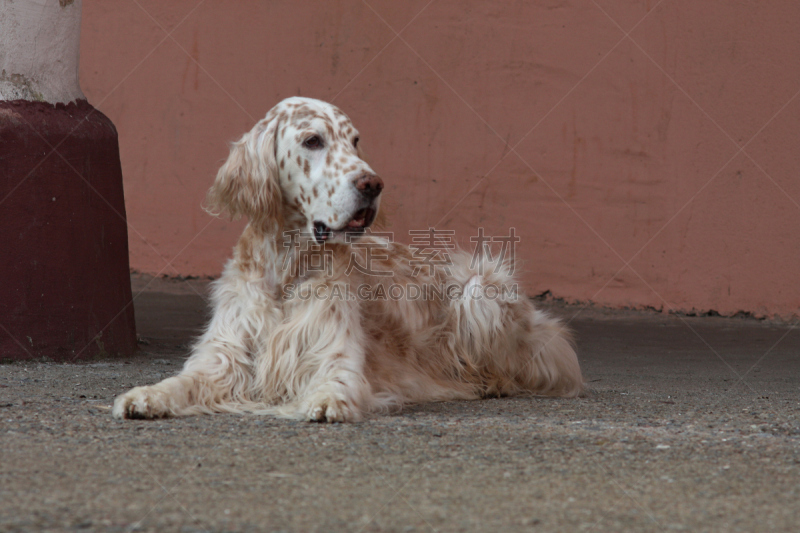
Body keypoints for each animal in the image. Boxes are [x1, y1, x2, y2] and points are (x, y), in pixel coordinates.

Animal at [112, 95, 580, 420]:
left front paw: (326, 402)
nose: (372, 184)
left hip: (482, 289)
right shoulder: (222, 359)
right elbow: (181, 382)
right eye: (313, 140)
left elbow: (335, 383)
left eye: (355, 141)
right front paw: (145, 395)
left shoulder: (334, 358)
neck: (287, 270)